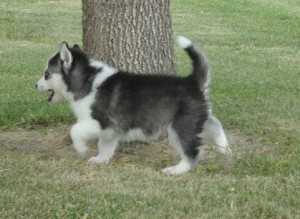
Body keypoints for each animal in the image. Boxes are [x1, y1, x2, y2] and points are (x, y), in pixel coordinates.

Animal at [36, 36, 231, 175]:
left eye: (46, 74)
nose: (35, 85)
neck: (88, 81)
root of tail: (191, 81)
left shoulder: (101, 122)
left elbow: (75, 130)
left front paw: (80, 148)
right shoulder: (110, 129)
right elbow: (105, 145)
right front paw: (100, 160)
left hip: (182, 125)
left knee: (192, 151)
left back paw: (177, 169)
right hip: (198, 116)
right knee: (215, 123)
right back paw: (223, 147)